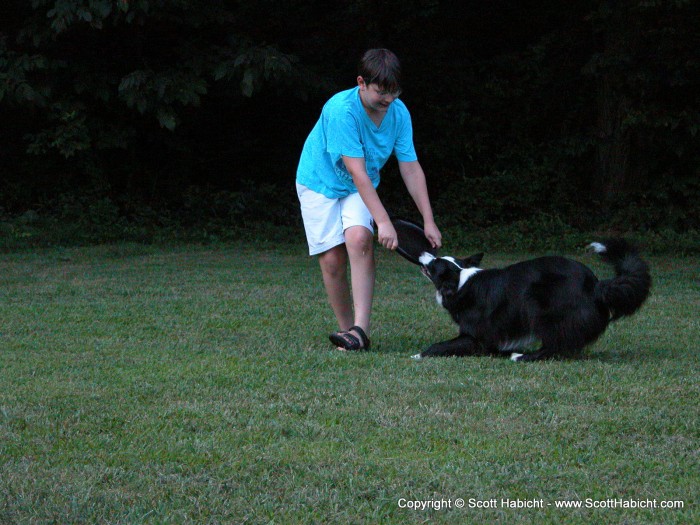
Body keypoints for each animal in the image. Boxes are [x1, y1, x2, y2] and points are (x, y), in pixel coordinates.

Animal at [416, 241, 652, 360]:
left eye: (435, 262)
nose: (423, 252)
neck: (460, 282)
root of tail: (595, 284)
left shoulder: (474, 335)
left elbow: (442, 345)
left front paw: (419, 354)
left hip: (538, 304)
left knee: (553, 344)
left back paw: (522, 357)